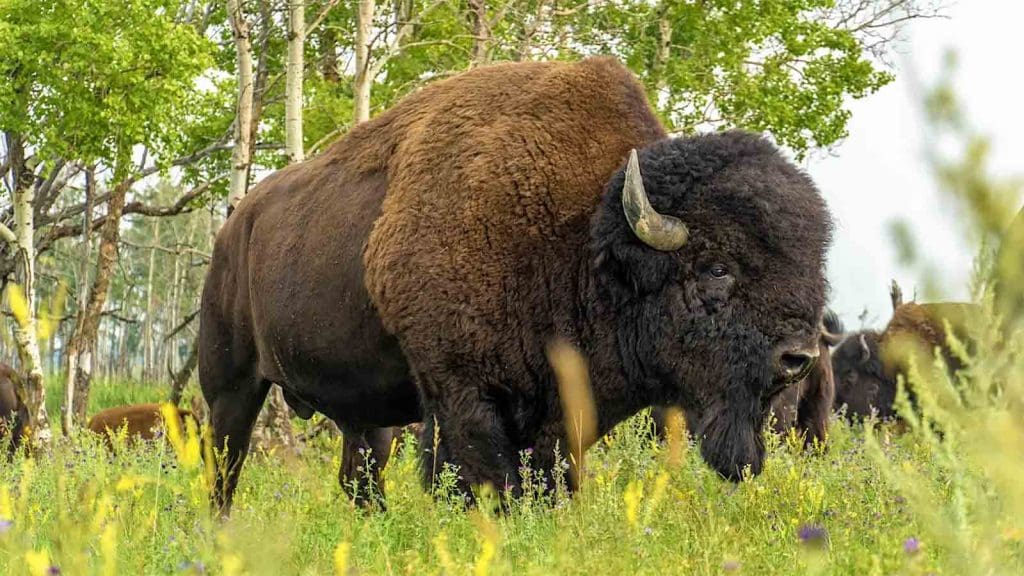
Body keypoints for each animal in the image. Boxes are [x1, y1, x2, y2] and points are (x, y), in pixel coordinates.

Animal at [200, 57, 833, 514]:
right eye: (716, 267)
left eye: (809, 265)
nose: (798, 357)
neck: (582, 239)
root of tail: (234, 225)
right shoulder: (463, 393)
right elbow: (485, 481)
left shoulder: (555, 415)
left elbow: (549, 481)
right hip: (230, 384)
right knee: (224, 465)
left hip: (371, 415)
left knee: (360, 474)